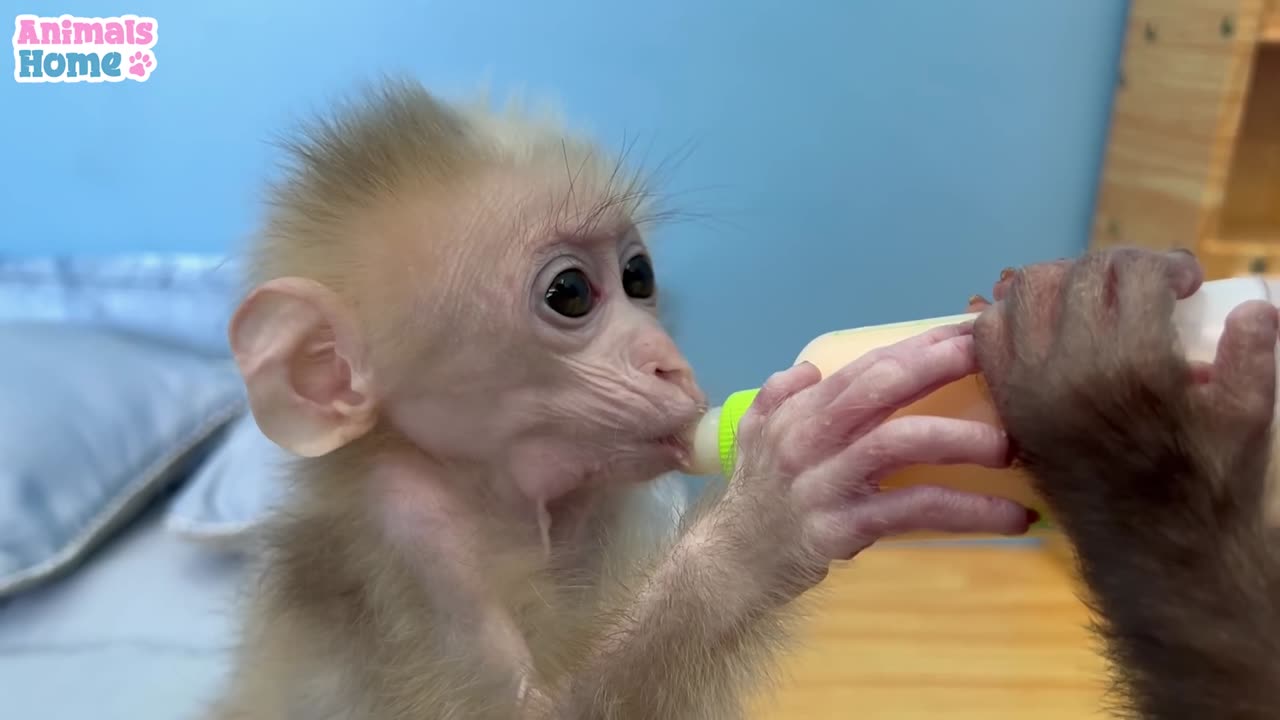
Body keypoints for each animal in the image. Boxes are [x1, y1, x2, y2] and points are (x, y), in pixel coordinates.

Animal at [209, 78, 1029, 717]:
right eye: (570, 292)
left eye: (639, 276)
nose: (670, 365)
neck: (504, 494)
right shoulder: (412, 529)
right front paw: (769, 518)